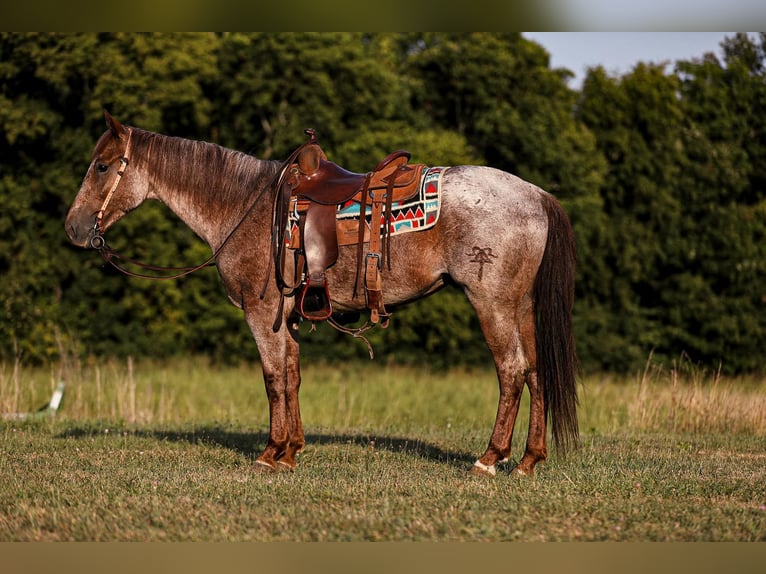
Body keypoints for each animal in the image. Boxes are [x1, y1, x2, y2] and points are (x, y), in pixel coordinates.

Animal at [65, 111, 579, 477]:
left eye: (102, 165)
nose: (73, 228)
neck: (244, 206)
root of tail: (536, 195)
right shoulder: (287, 316)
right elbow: (292, 376)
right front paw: (292, 450)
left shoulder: (261, 312)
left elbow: (273, 378)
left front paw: (270, 452)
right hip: (521, 307)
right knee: (536, 372)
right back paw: (529, 460)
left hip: (491, 303)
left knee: (511, 371)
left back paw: (490, 458)